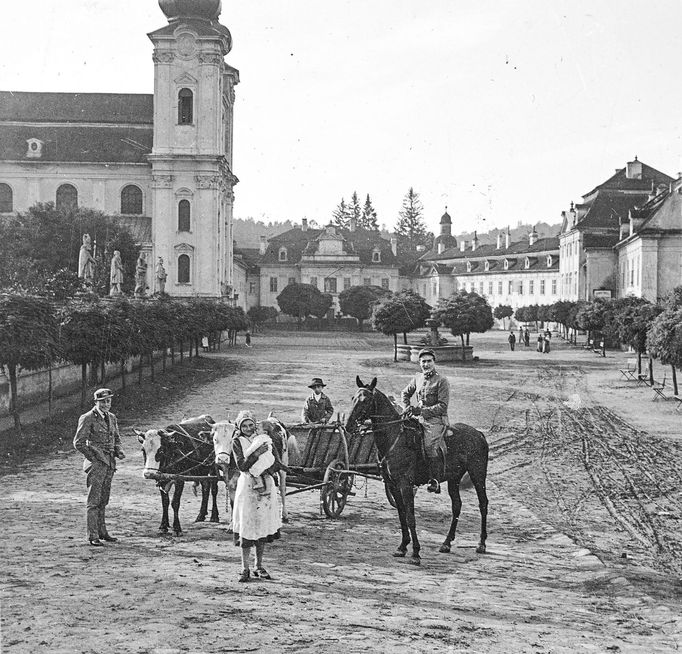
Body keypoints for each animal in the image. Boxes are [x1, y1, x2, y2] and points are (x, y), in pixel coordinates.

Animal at [346, 376, 488, 568]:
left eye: (366, 400)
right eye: (353, 398)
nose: (348, 425)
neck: (394, 438)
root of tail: (479, 433)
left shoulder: (406, 485)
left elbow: (410, 517)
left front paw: (415, 553)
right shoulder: (393, 486)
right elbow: (402, 515)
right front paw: (402, 547)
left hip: (477, 475)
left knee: (483, 504)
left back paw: (481, 544)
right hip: (454, 479)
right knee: (457, 506)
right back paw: (446, 543)